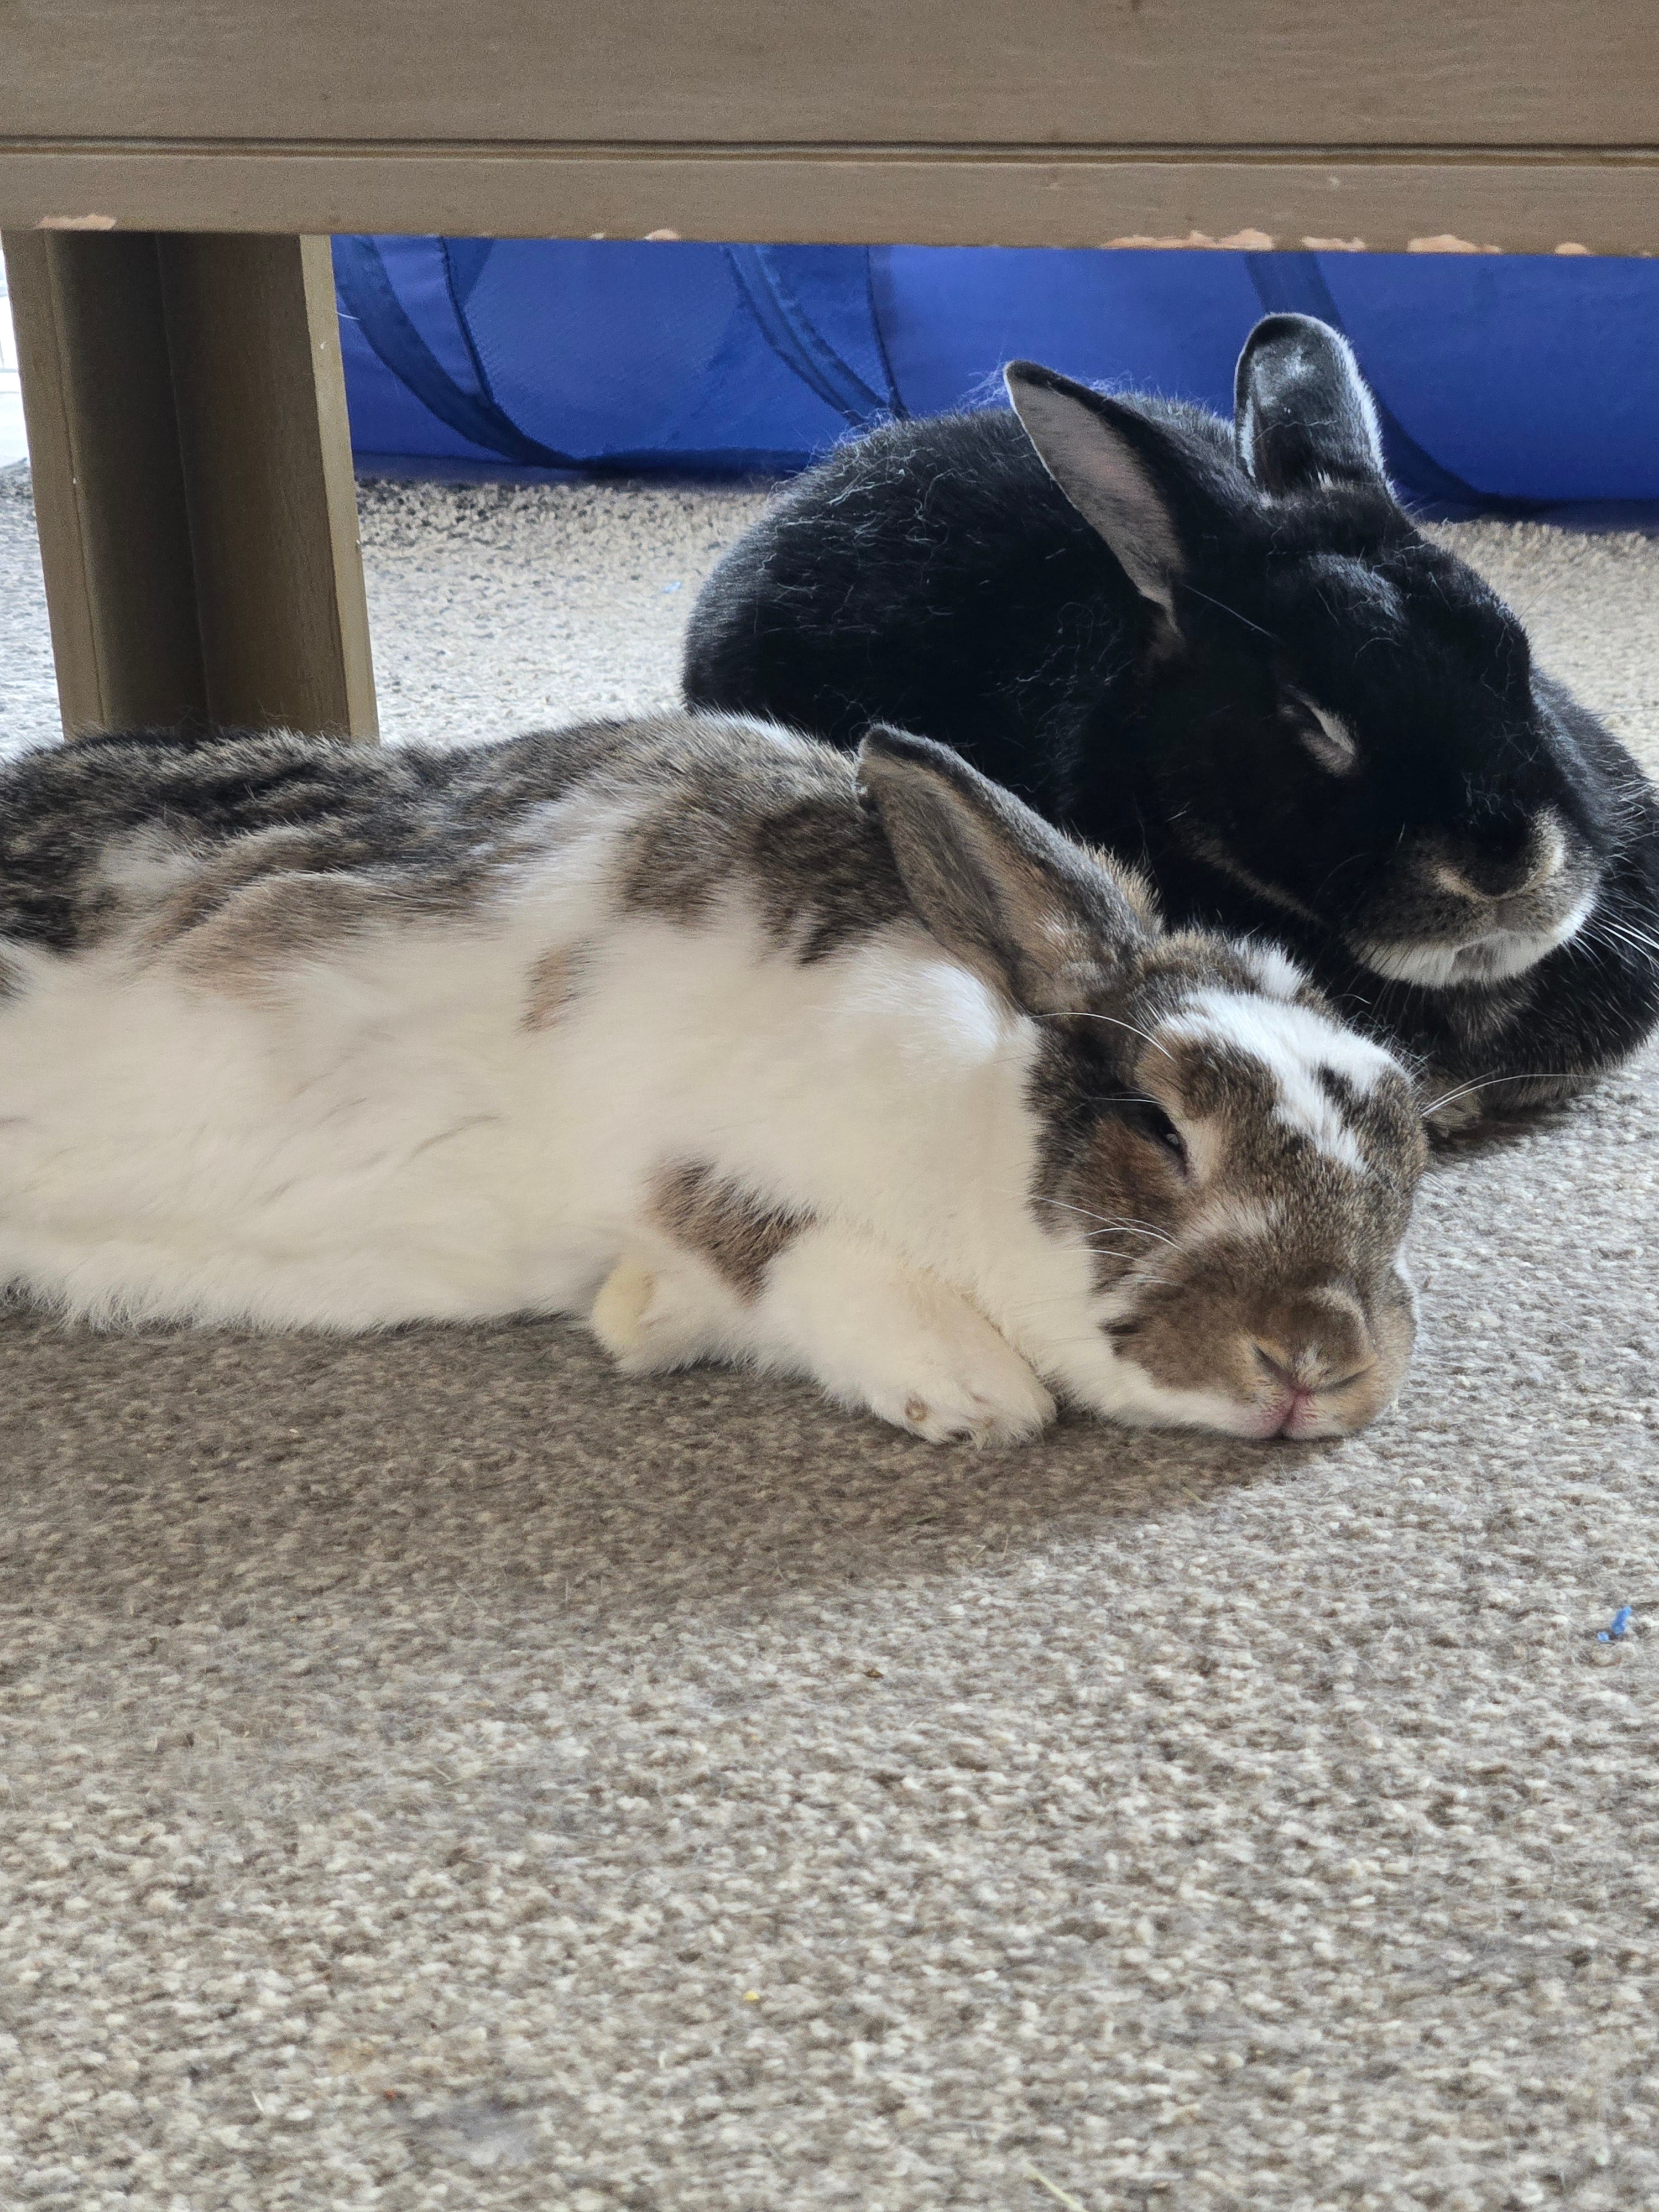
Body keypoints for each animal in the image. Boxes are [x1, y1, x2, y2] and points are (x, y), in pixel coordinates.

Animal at [0, 711, 1424, 1444]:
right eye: (1157, 1123)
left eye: (1407, 1165)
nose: (1314, 1360)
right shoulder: (651, 1123)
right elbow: (777, 1234)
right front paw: (975, 1390)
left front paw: (638, 1321)